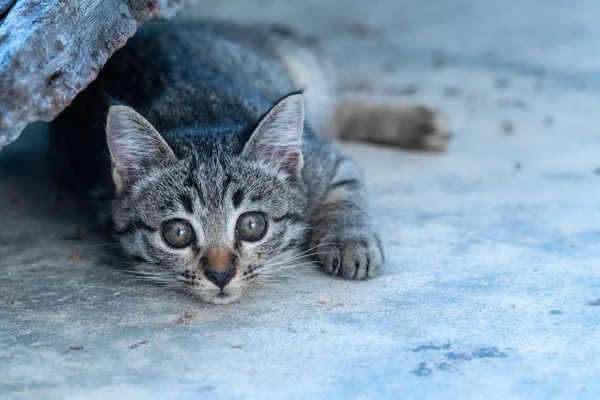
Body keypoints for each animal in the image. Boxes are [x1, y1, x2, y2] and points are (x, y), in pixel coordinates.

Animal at [54, 20, 450, 304]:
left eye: (252, 225)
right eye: (177, 233)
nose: (220, 275)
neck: (203, 116)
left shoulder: (327, 161)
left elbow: (345, 197)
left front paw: (350, 241)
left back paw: (423, 123)